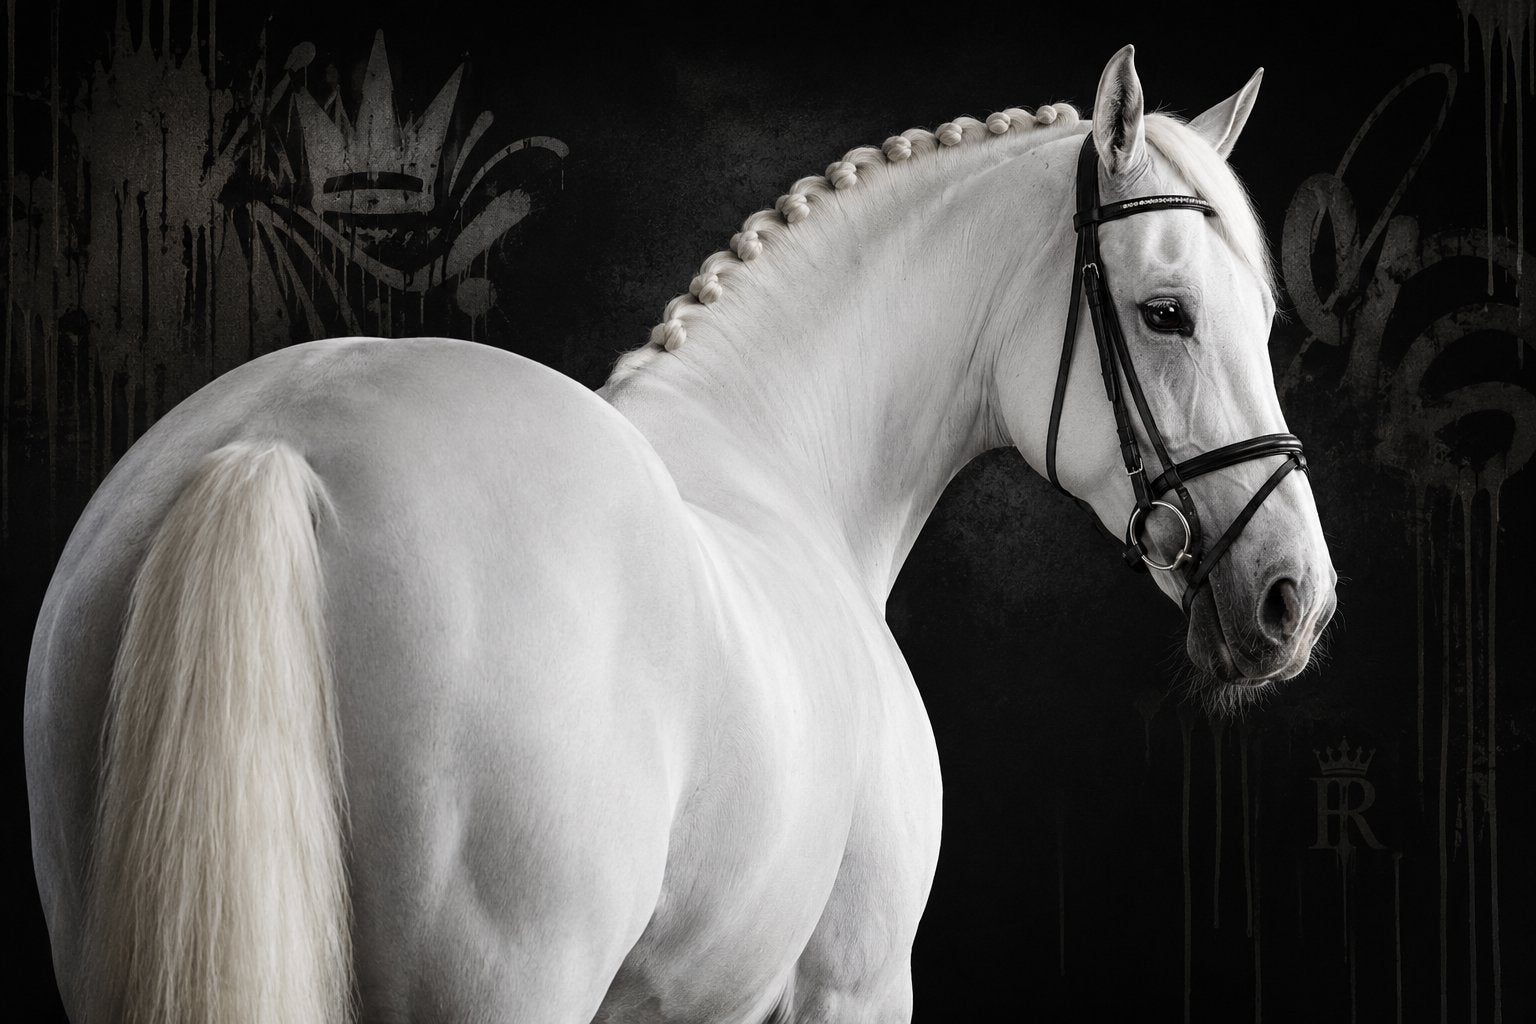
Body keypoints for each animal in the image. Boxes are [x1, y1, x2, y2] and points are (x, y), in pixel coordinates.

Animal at [25, 45, 1335, 1023]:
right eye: (1166, 313)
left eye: (1264, 316)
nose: (1296, 598)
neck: (778, 463)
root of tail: (282, 441)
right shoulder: (855, 985)